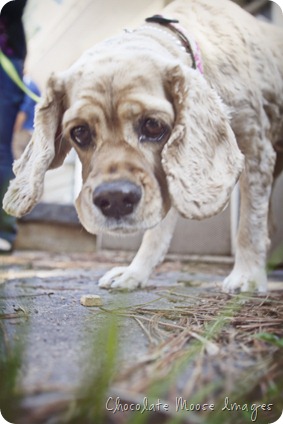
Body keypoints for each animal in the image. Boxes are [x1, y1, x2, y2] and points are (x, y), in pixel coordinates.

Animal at [2, 0, 283, 292]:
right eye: (79, 132)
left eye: (153, 125)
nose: (114, 199)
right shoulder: (168, 173)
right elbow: (156, 232)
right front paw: (134, 272)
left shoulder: (256, 148)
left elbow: (249, 223)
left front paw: (247, 275)